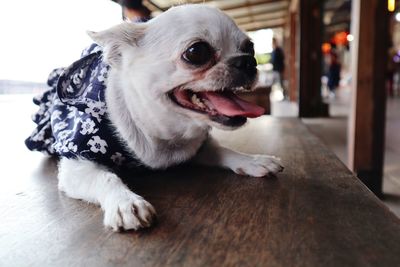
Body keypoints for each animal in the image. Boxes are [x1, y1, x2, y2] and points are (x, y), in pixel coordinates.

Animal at [25, 4, 282, 231]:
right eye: (196, 52)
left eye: (250, 47)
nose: (249, 60)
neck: (168, 135)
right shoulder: (77, 165)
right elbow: (106, 178)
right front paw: (126, 203)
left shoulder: (196, 148)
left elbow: (224, 151)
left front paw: (253, 160)